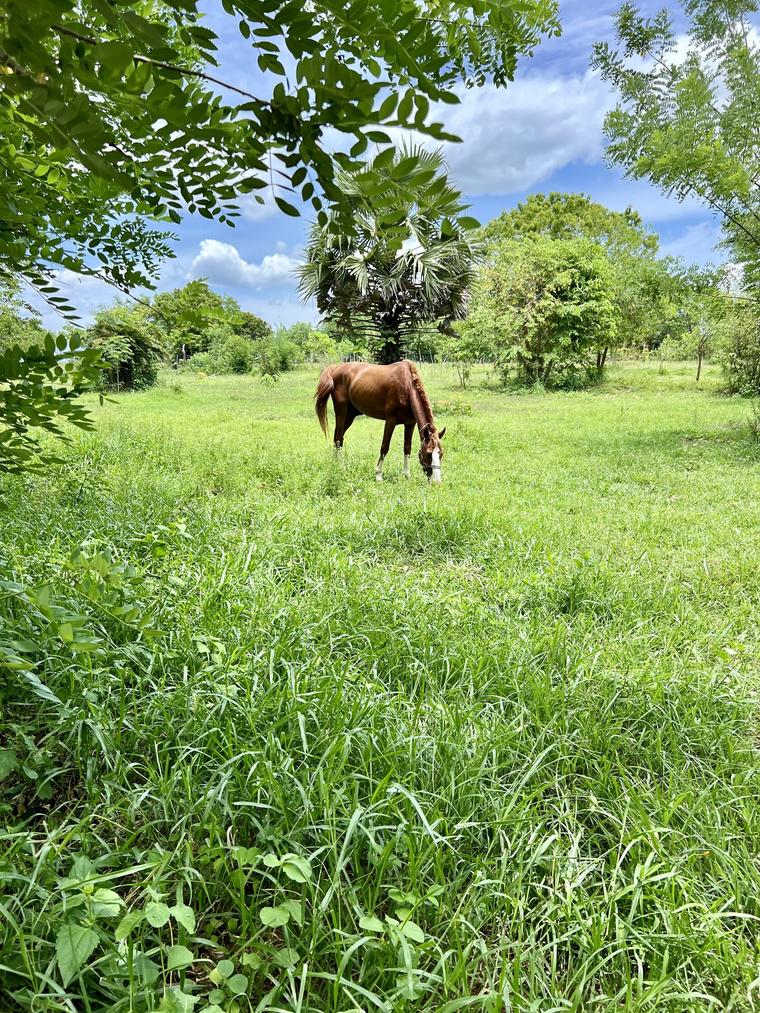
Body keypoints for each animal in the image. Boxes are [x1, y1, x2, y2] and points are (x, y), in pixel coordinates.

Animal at [315, 360, 446, 482]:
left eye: (441, 454)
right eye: (428, 453)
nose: (437, 482)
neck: (407, 387)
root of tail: (335, 368)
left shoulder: (410, 423)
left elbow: (407, 448)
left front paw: (406, 475)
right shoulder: (390, 421)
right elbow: (384, 447)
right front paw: (378, 475)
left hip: (350, 415)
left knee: (338, 437)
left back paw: (335, 464)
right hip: (341, 412)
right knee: (338, 438)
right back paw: (341, 468)